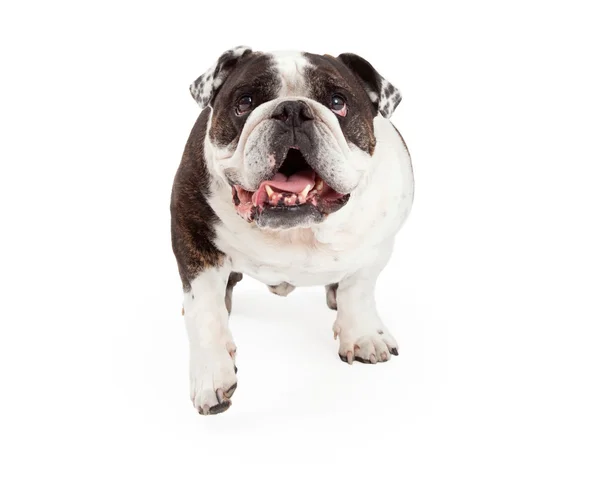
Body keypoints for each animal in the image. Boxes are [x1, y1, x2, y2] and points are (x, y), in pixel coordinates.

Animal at [169, 47, 412, 416]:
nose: (293, 110)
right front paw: (212, 375)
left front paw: (363, 335)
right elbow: (205, 312)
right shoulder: (193, 236)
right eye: (245, 102)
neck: (298, 229)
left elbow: (358, 288)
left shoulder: (378, 244)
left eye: (338, 102)